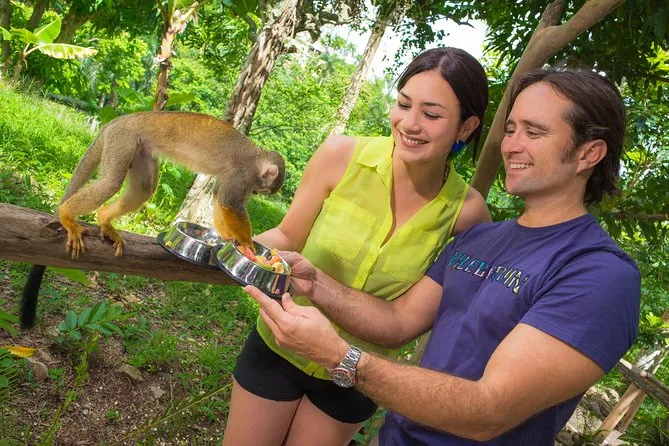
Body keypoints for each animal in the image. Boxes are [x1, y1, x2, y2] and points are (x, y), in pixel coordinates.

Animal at [20, 111, 285, 329]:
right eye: (261, 189)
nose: (256, 193)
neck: (257, 158)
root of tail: (120, 120)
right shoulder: (243, 174)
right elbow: (229, 203)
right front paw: (247, 245)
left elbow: (219, 198)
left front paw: (229, 238)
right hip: (123, 139)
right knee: (111, 183)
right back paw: (67, 215)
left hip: (139, 148)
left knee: (145, 187)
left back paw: (104, 219)